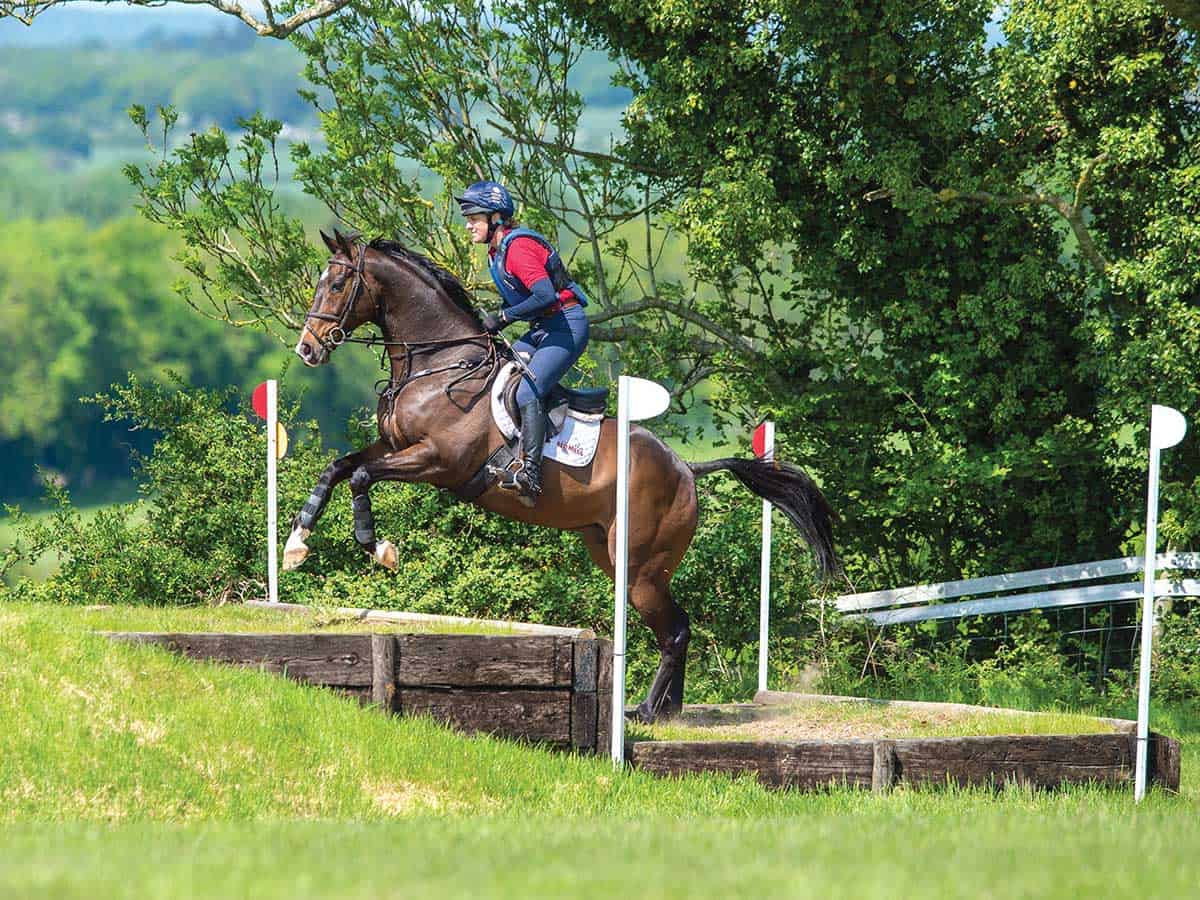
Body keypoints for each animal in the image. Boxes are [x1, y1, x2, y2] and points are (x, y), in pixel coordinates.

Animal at [285, 229, 840, 724]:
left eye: (338, 284)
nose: (306, 351)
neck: (438, 364)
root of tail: (686, 468)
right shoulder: (397, 447)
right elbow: (339, 468)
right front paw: (296, 543)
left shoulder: (437, 461)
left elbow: (361, 477)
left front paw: (378, 548)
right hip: (612, 554)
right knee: (677, 626)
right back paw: (665, 709)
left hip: (640, 569)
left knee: (675, 630)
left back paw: (648, 711)